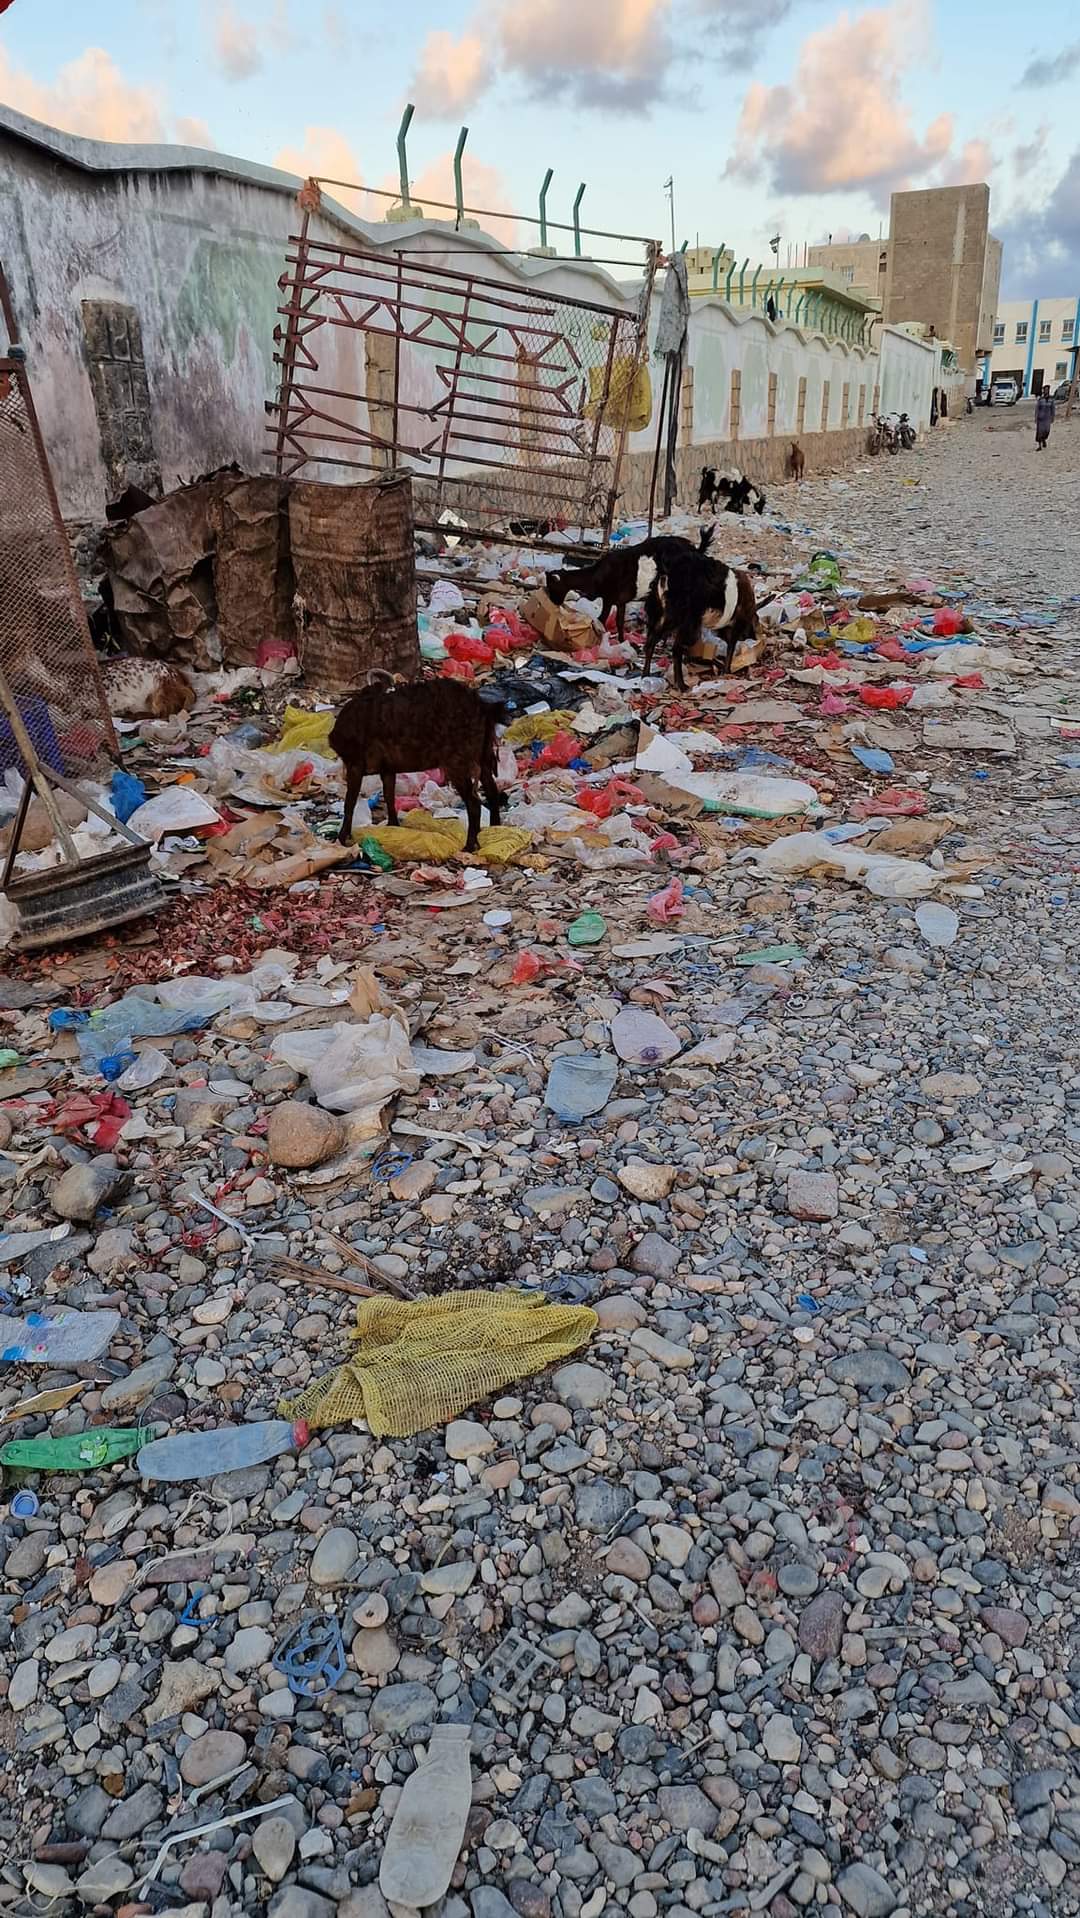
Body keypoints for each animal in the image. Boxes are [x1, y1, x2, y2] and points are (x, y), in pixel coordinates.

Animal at [328, 678, 510, 851]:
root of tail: (483, 707)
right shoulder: (387, 766)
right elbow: (389, 796)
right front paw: (393, 828)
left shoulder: (355, 762)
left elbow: (350, 802)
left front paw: (341, 838)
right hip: (483, 753)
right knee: (492, 791)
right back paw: (494, 832)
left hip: (457, 760)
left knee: (474, 802)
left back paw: (470, 845)